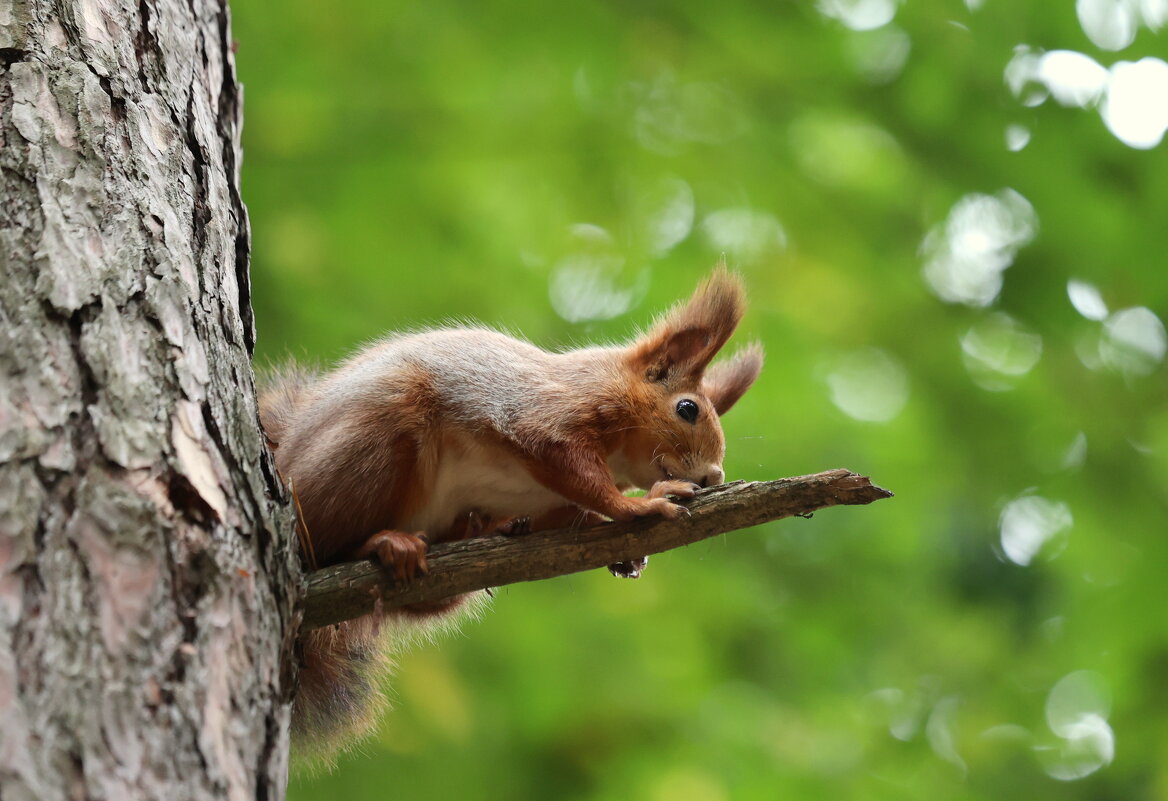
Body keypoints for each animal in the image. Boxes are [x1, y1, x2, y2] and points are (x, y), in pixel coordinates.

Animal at [259, 266, 761, 761]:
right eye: (687, 408)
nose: (713, 476)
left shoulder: (549, 503)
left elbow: (568, 516)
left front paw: (620, 549)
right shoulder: (548, 414)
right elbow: (570, 465)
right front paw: (639, 504)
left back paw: (477, 529)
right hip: (372, 438)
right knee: (327, 548)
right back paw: (386, 543)